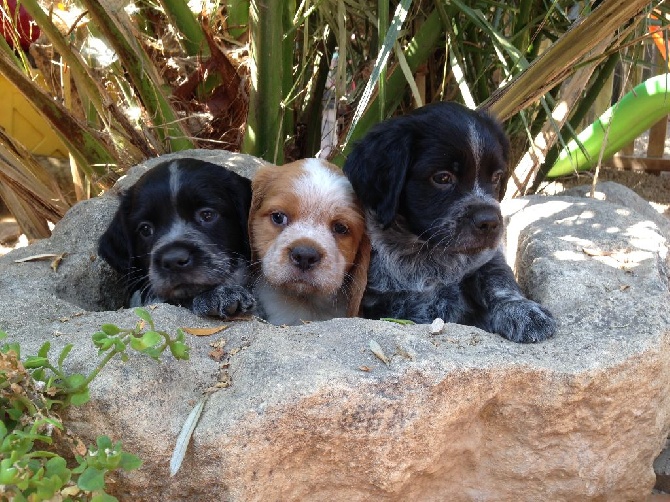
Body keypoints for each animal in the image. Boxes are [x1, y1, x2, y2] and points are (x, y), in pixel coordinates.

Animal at [344, 102, 560, 346]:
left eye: (496, 177)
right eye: (442, 178)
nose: (490, 222)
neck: (426, 253)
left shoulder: (486, 259)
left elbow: (498, 279)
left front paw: (522, 310)